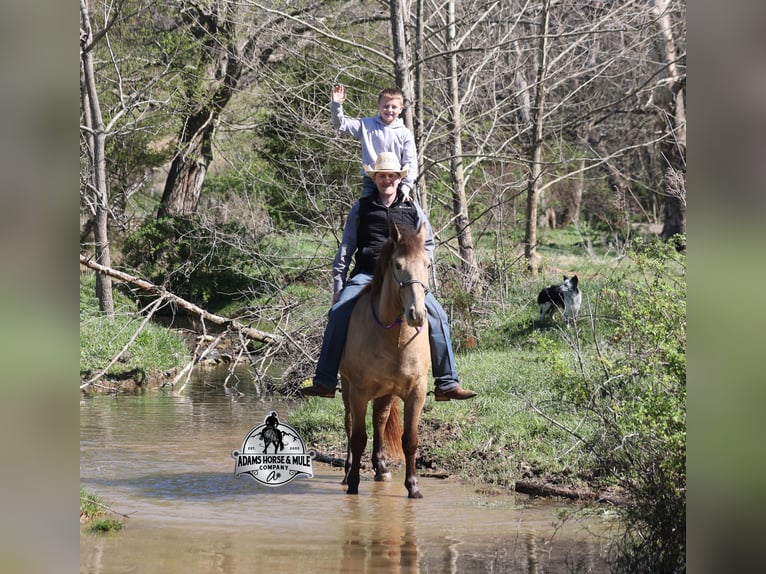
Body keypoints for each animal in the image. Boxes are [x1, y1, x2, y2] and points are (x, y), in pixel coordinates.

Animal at [339, 222, 432, 499]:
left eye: (428, 264)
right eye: (398, 265)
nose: (416, 314)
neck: (395, 338)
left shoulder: (416, 392)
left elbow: (410, 440)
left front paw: (413, 486)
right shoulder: (358, 392)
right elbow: (358, 437)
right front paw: (354, 483)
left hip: (386, 392)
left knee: (379, 419)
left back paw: (381, 468)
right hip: (346, 386)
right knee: (349, 424)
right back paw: (348, 472)